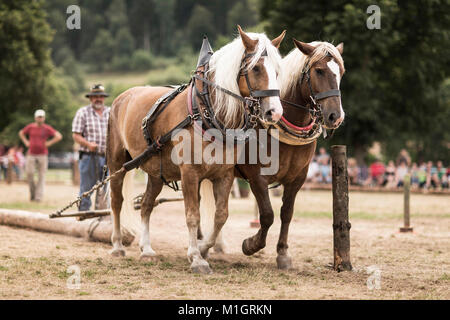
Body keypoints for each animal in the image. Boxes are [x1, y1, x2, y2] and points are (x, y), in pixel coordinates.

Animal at [106, 26, 284, 274]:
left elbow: (220, 216)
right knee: (116, 201)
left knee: (147, 206)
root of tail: (122, 97)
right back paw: (117, 246)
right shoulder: (189, 173)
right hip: (116, 163)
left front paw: (202, 248)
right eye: (256, 68)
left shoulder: (224, 175)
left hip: (156, 172)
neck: (205, 112)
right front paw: (197, 258)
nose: (274, 112)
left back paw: (147, 249)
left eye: (277, 70)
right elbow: (192, 215)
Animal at [202, 39, 346, 270]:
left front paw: (283, 253)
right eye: (319, 71)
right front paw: (251, 244)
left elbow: (286, 213)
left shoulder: (297, 178)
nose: (336, 116)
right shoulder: (257, 178)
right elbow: (267, 215)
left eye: (341, 71)